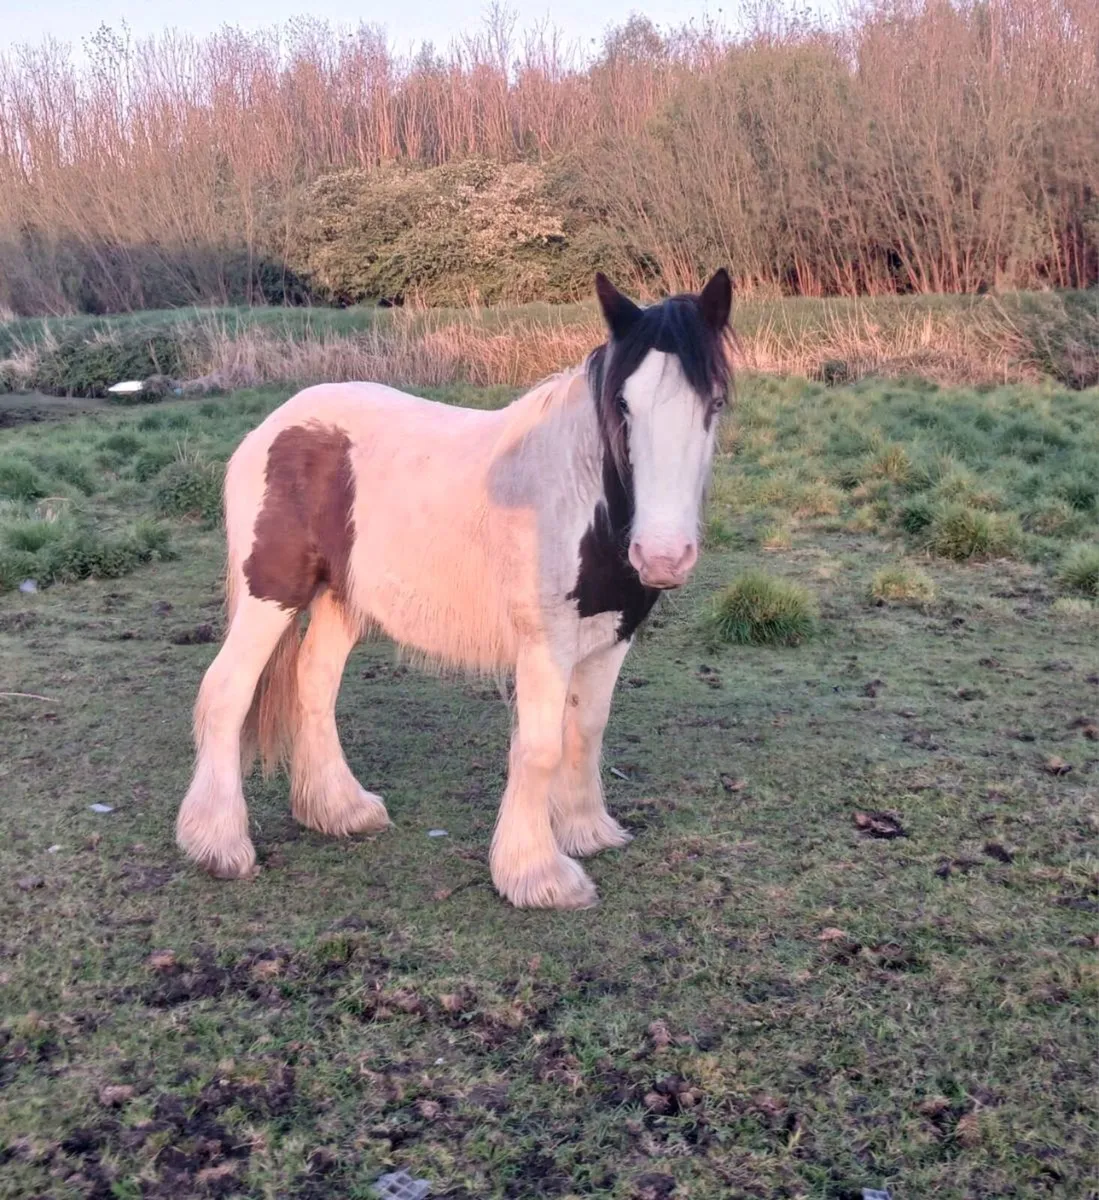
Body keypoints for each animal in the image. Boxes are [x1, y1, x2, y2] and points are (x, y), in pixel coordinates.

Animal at [176, 269, 733, 909]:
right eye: (621, 404)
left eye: (714, 402)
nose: (662, 555)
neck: (581, 497)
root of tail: (276, 425)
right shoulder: (545, 645)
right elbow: (539, 747)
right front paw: (537, 874)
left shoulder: (612, 636)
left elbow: (585, 732)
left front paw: (586, 831)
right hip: (271, 594)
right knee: (226, 692)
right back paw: (218, 843)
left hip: (343, 600)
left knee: (313, 683)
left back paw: (339, 810)